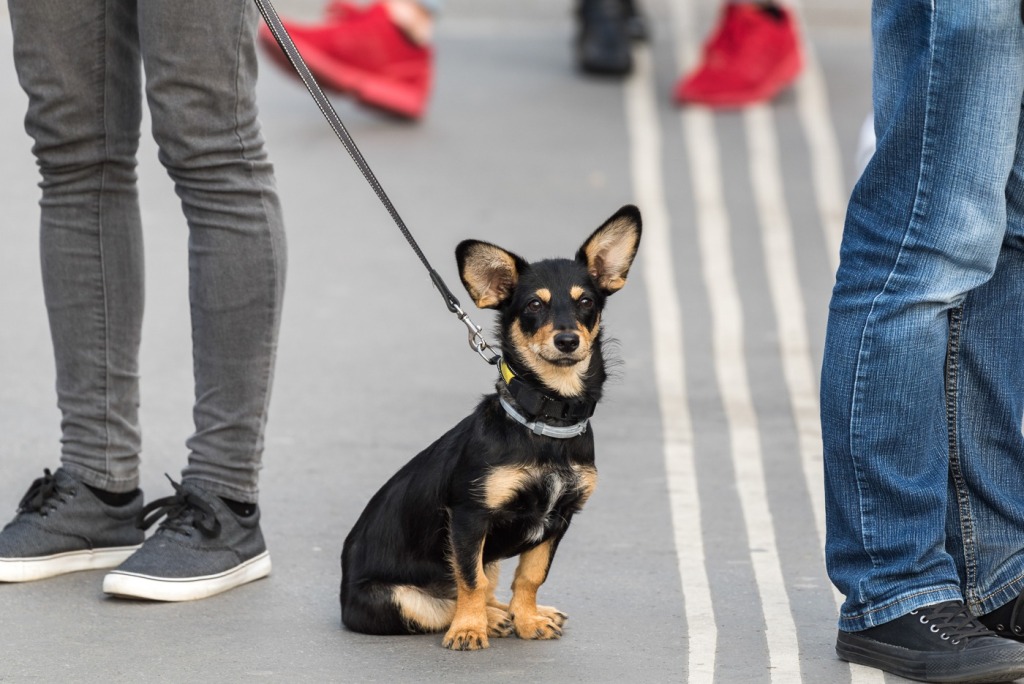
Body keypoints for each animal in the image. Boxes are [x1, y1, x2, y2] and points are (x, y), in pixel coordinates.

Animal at [344, 204, 643, 651]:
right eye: (534, 305)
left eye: (586, 301)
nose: (568, 340)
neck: (547, 418)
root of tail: (342, 599)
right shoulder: (469, 517)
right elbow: (470, 580)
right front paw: (470, 628)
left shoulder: (559, 517)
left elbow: (531, 576)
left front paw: (528, 619)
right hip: (393, 598)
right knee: (444, 602)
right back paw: (487, 619)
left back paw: (507, 615)